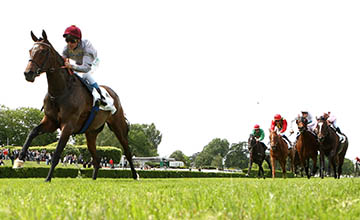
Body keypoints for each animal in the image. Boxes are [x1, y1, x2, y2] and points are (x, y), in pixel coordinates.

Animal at [16, 30, 138, 182]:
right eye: (30, 50)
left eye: (43, 51)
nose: (28, 73)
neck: (60, 91)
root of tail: (114, 94)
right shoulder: (50, 122)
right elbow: (32, 132)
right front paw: (19, 159)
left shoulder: (67, 125)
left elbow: (57, 153)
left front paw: (48, 178)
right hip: (91, 133)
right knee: (97, 159)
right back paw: (93, 179)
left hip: (118, 126)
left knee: (127, 150)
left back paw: (135, 175)